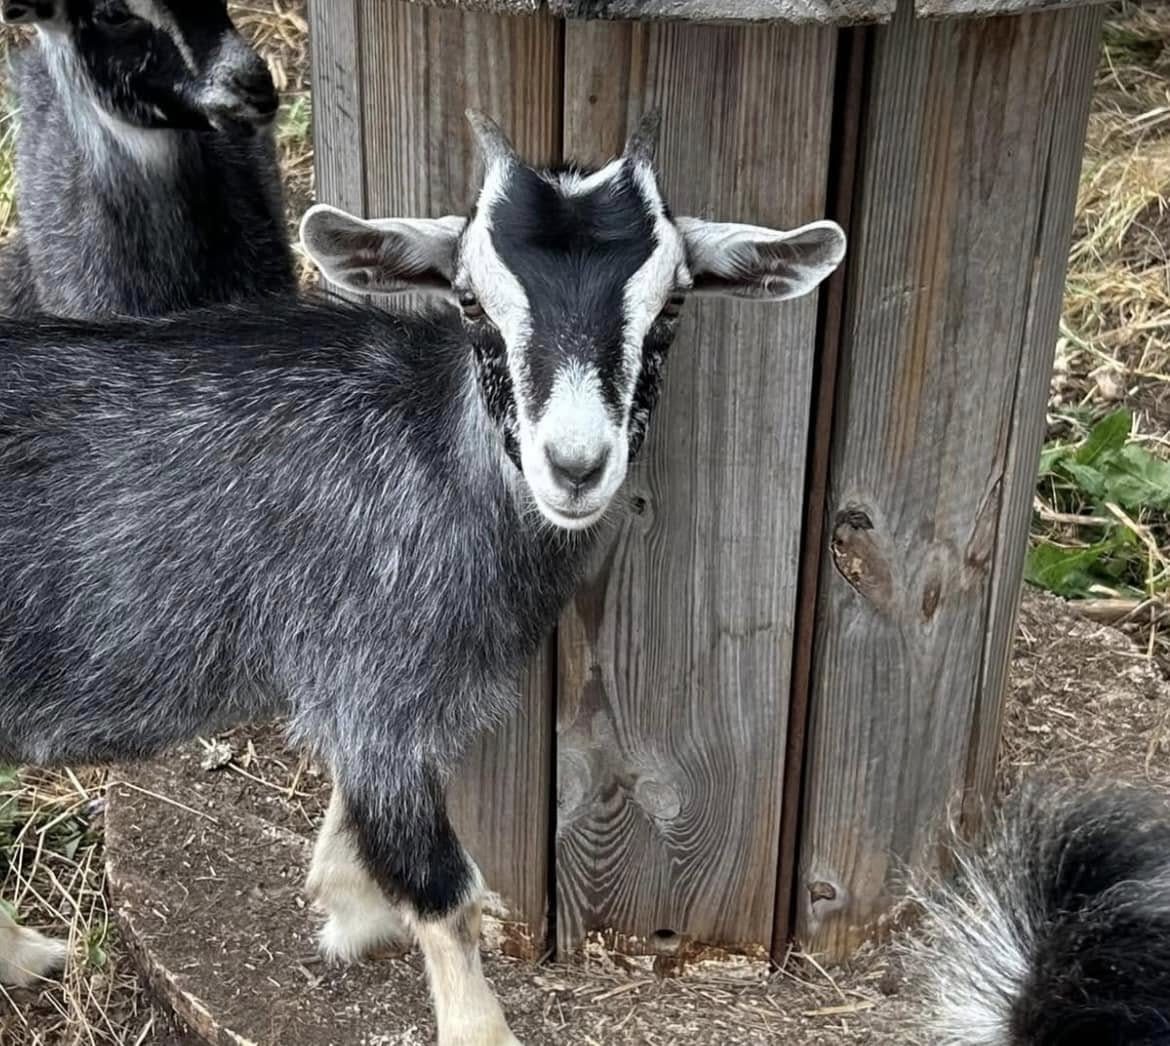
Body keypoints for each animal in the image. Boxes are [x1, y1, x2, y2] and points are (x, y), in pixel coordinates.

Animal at [0, 110, 845, 1044]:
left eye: (672, 306)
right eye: (470, 301)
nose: (575, 467)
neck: (430, 451)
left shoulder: (366, 688)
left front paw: (345, 904)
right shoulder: (378, 679)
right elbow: (446, 889)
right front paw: (477, 1024)